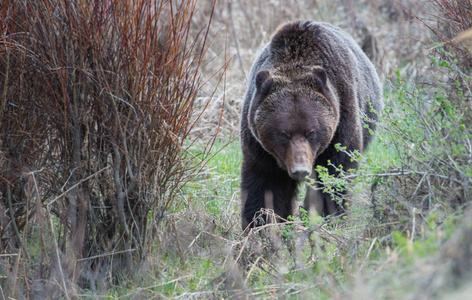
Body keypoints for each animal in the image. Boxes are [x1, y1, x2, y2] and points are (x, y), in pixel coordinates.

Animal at [242, 21, 382, 229]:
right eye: (283, 134)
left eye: (311, 133)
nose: (300, 170)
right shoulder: (259, 146)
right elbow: (265, 184)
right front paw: (262, 224)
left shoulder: (341, 126)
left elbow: (334, 175)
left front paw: (324, 217)